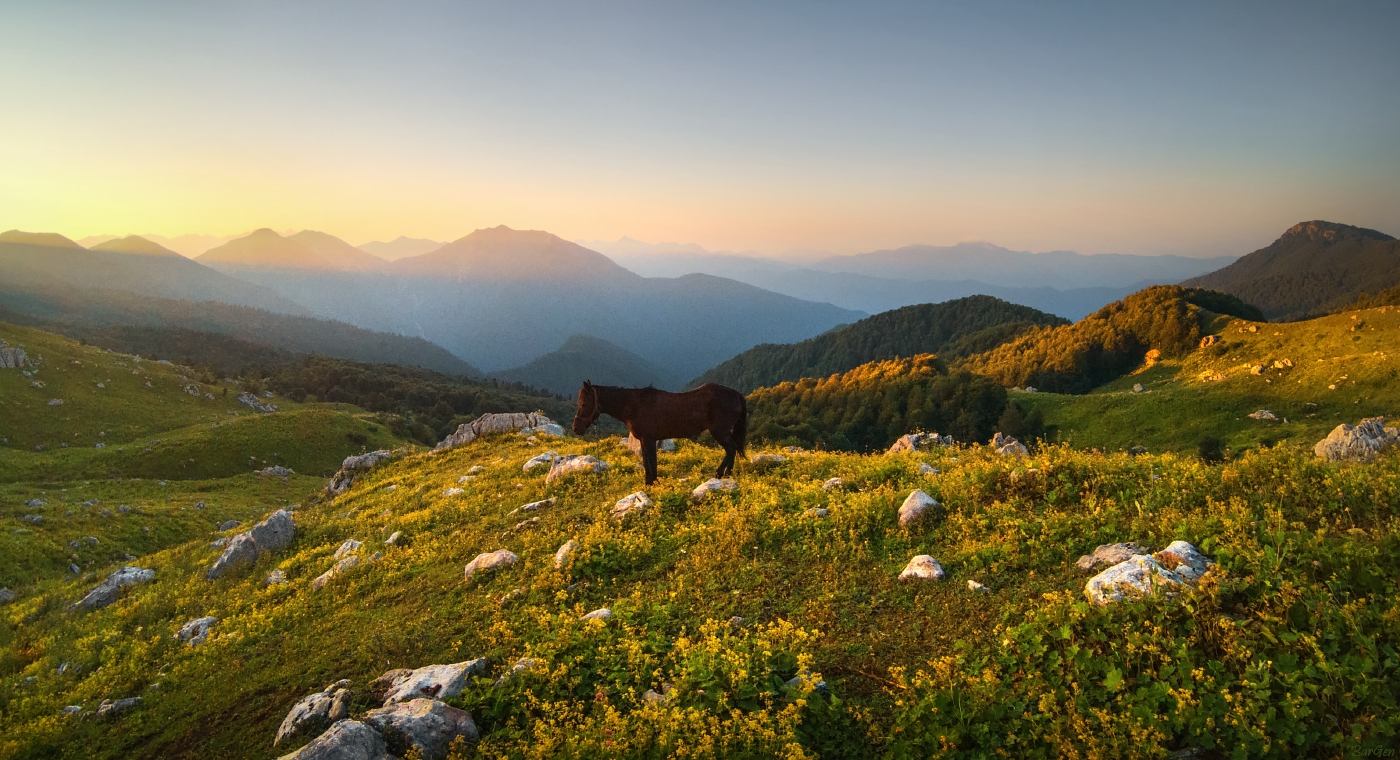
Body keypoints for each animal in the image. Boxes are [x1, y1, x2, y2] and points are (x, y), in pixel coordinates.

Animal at [571, 381, 747, 485]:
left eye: (584, 404)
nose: (576, 428)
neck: (634, 406)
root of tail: (736, 394)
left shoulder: (649, 440)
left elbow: (652, 463)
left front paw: (653, 483)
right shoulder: (643, 441)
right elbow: (646, 463)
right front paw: (648, 483)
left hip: (720, 431)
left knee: (731, 449)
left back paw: (719, 474)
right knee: (732, 449)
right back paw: (728, 475)